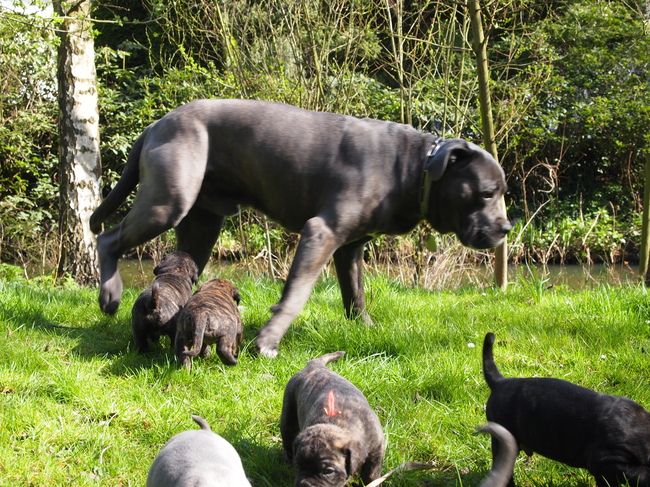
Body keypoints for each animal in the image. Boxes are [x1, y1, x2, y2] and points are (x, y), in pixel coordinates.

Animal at [90, 99, 511, 357]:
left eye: (502, 192)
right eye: (486, 193)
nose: (507, 227)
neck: (414, 167)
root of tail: (156, 124)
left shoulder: (350, 246)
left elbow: (355, 294)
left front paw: (366, 328)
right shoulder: (321, 233)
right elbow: (296, 295)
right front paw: (268, 340)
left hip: (202, 223)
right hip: (167, 201)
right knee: (107, 238)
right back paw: (110, 296)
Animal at [281, 351, 384, 487]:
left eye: (328, 471)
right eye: (298, 466)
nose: (305, 484)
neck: (337, 423)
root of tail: (314, 365)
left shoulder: (377, 448)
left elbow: (371, 472)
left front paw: (371, 482)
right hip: (289, 415)